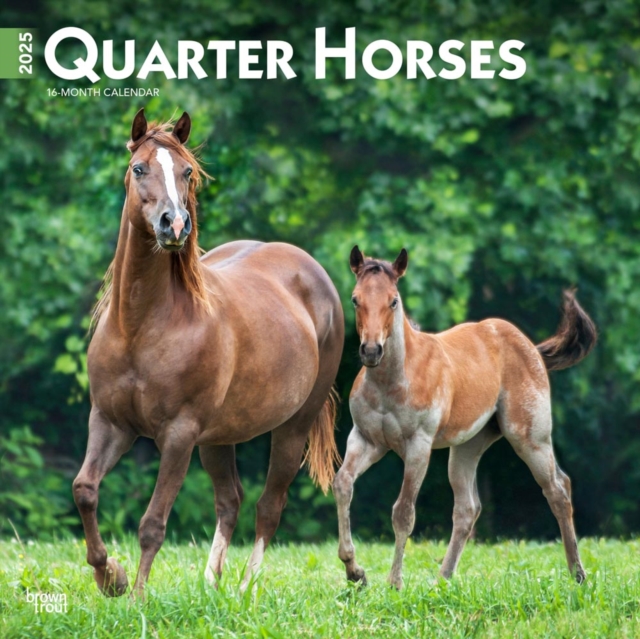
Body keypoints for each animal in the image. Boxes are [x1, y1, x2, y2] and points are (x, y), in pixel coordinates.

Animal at [72, 109, 344, 598]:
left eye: (186, 172)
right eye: (138, 168)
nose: (175, 225)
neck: (141, 328)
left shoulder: (178, 435)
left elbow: (152, 524)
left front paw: (136, 597)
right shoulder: (109, 421)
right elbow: (85, 489)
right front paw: (110, 576)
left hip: (292, 426)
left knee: (269, 505)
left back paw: (246, 588)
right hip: (219, 438)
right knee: (230, 500)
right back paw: (210, 584)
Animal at [333, 246, 597, 589]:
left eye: (393, 301)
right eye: (355, 299)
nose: (371, 351)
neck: (392, 380)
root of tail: (531, 348)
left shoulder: (418, 445)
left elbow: (403, 512)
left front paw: (394, 583)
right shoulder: (365, 439)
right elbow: (342, 484)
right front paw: (355, 571)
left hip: (530, 437)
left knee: (558, 489)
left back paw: (578, 573)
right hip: (467, 447)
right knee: (467, 509)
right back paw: (442, 580)